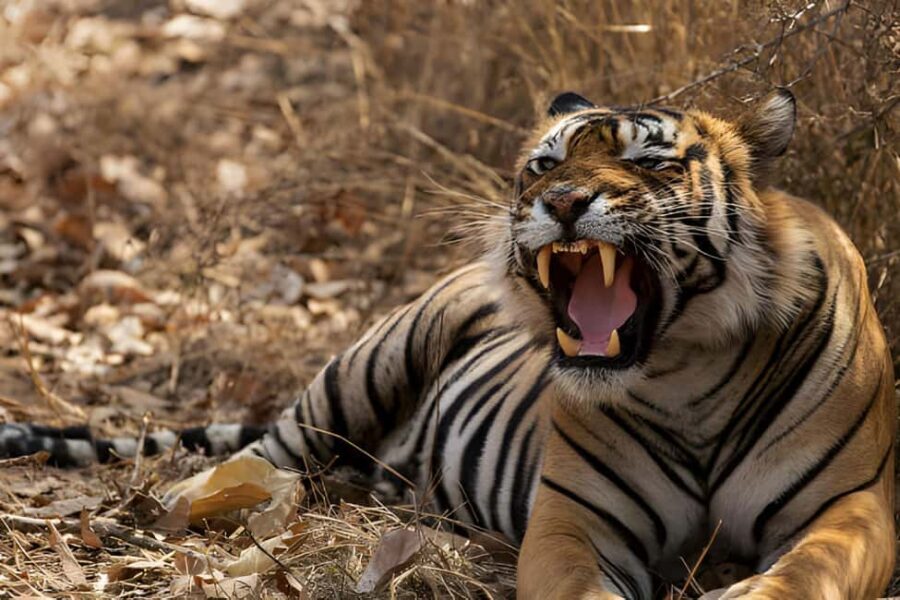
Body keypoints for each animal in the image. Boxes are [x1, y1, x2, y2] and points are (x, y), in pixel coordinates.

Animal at [1, 89, 894, 600]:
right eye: (543, 163)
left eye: (651, 162)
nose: (562, 201)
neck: (687, 372)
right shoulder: (574, 519)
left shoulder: (853, 506)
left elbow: (808, 574)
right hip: (364, 366)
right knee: (263, 451)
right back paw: (179, 510)